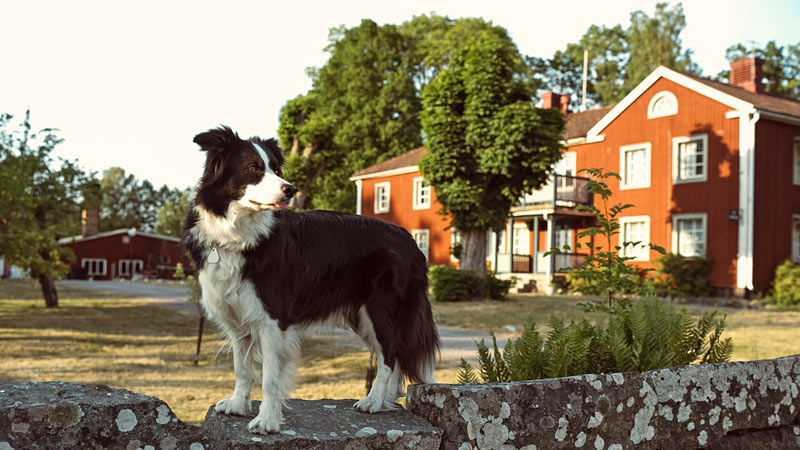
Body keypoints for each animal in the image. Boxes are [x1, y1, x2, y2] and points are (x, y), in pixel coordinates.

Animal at [184, 125, 440, 432]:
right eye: (253, 168)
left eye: (275, 168)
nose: (290, 189)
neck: (238, 231)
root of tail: (410, 241)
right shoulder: (237, 318)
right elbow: (241, 368)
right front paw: (237, 406)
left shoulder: (272, 319)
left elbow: (270, 377)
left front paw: (267, 420)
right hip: (363, 315)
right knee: (395, 353)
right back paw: (387, 398)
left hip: (381, 309)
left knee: (389, 354)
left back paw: (374, 401)